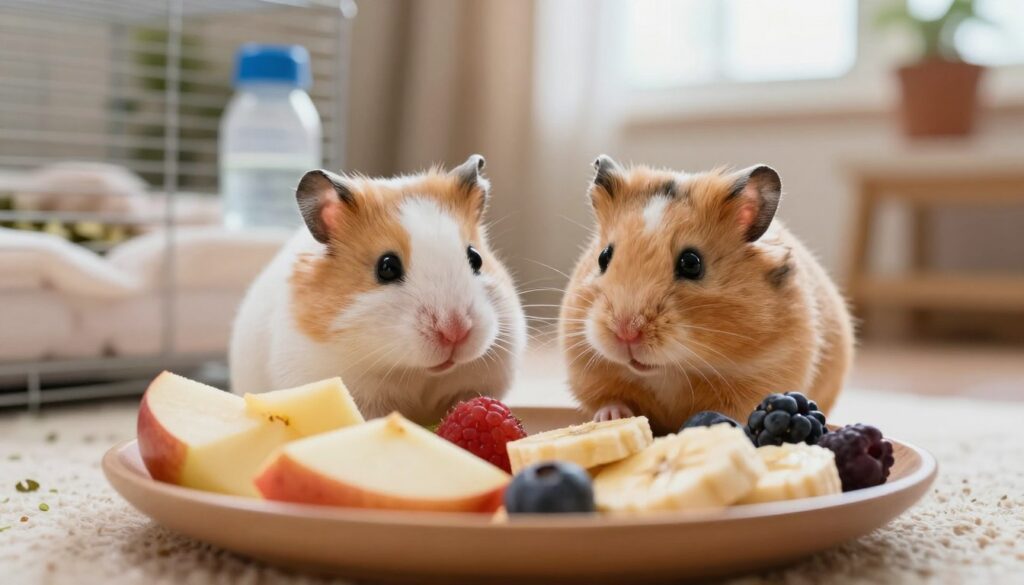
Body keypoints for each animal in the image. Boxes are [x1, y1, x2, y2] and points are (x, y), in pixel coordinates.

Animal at [559, 156, 853, 435]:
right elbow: (609, 400)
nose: (626, 332)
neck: (671, 369)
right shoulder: (589, 371)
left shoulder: (764, 375)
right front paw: (612, 418)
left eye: (691, 263)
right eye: (603, 257)